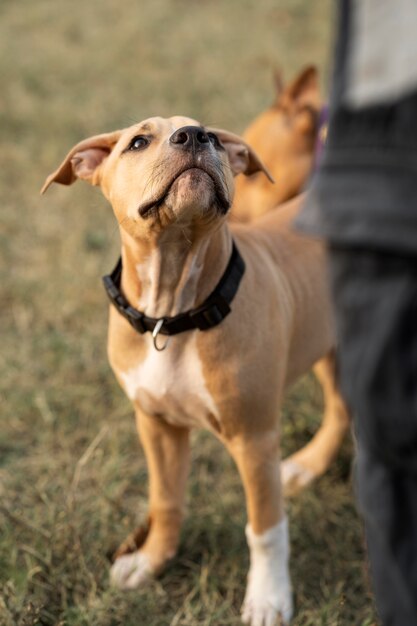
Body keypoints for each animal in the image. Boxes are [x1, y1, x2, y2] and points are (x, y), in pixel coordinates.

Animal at [41, 114, 348, 620]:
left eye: (216, 138)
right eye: (138, 142)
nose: (194, 136)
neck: (175, 311)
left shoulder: (254, 437)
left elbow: (265, 528)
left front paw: (268, 597)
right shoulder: (156, 424)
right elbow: (166, 499)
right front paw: (150, 560)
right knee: (341, 408)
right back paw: (307, 467)